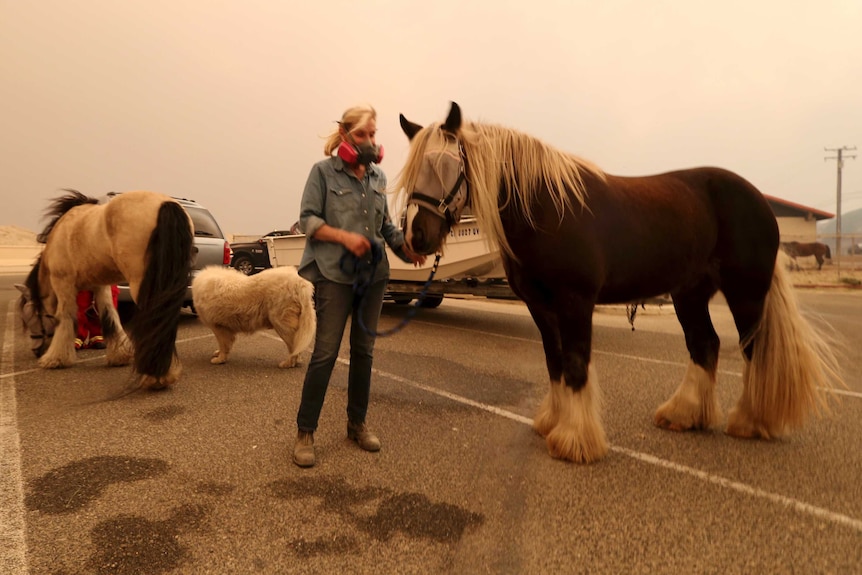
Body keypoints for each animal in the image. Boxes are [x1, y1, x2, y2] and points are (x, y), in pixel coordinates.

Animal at [19, 191, 196, 390]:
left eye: (29, 317)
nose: (36, 351)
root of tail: (166, 204)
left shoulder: (63, 283)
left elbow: (64, 318)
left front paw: (56, 359)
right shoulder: (100, 286)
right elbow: (109, 316)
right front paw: (120, 355)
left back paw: (154, 376)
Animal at [396, 102, 844, 464]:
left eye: (443, 164)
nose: (417, 237)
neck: (546, 208)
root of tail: (760, 201)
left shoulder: (575, 301)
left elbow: (576, 363)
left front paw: (575, 441)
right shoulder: (541, 307)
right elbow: (555, 362)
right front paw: (552, 422)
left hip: (745, 292)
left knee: (753, 348)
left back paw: (750, 421)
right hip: (689, 293)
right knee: (706, 345)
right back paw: (683, 414)